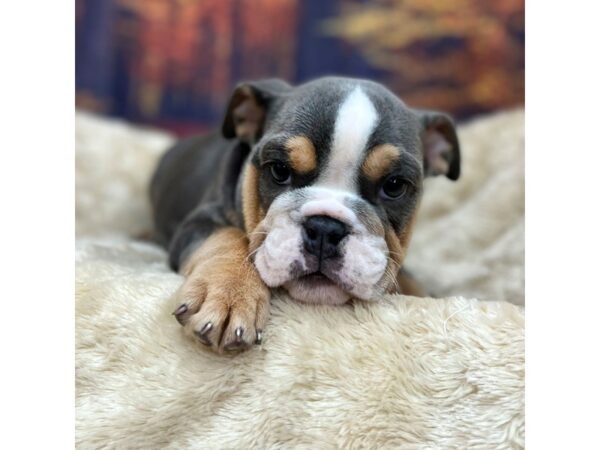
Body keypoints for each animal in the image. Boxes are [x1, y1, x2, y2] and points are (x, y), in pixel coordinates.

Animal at [149, 76, 460, 352]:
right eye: (279, 170)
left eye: (394, 186)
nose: (325, 228)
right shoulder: (199, 221)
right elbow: (227, 237)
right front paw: (229, 293)